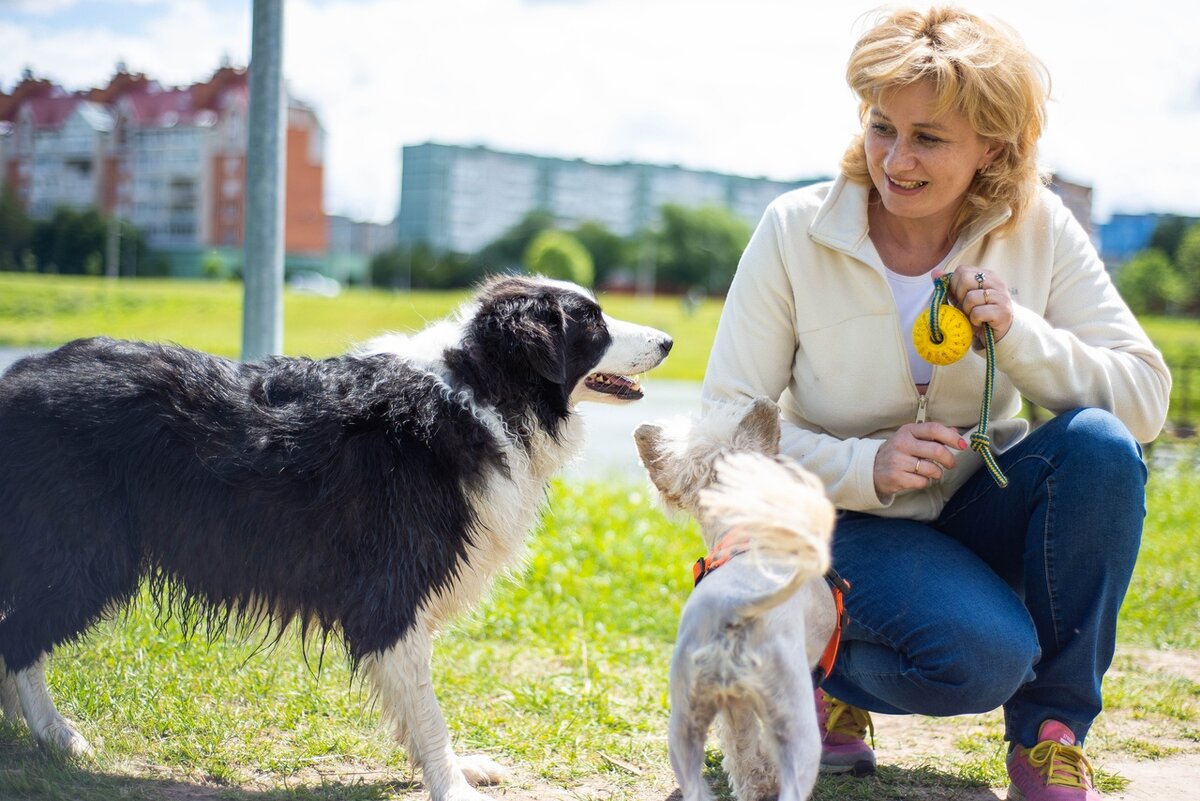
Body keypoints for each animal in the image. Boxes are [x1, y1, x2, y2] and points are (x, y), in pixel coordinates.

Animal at [0, 273, 676, 801]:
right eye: (592, 322)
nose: (670, 341)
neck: (480, 392)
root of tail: (19, 378)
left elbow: (414, 707)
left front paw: (451, 769)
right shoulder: (391, 594)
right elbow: (427, 709)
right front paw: (451, 782)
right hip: (85, 557)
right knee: (19, 640)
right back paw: (55, 734)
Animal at [633, 398, 840, 801]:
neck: (747, 532)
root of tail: (735, 610)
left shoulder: (734, 709)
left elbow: (743, 751)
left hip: (682, 728)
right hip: (796, 720)